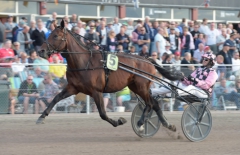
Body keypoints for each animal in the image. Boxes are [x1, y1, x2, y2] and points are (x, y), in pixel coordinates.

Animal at [36, 19, 177, 132]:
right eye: (50, 34)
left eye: (55, 36)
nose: (40, 51)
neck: (84, 62)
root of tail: (147, 59)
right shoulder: (73, 88)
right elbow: (56, 98)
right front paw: (41, 117)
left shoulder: (96, 91)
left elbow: (103, 114)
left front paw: (119, 121)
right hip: (135, 87)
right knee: (154, 103)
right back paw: (168, 125)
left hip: (141, 86)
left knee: (149, 104)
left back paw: (141, 123)